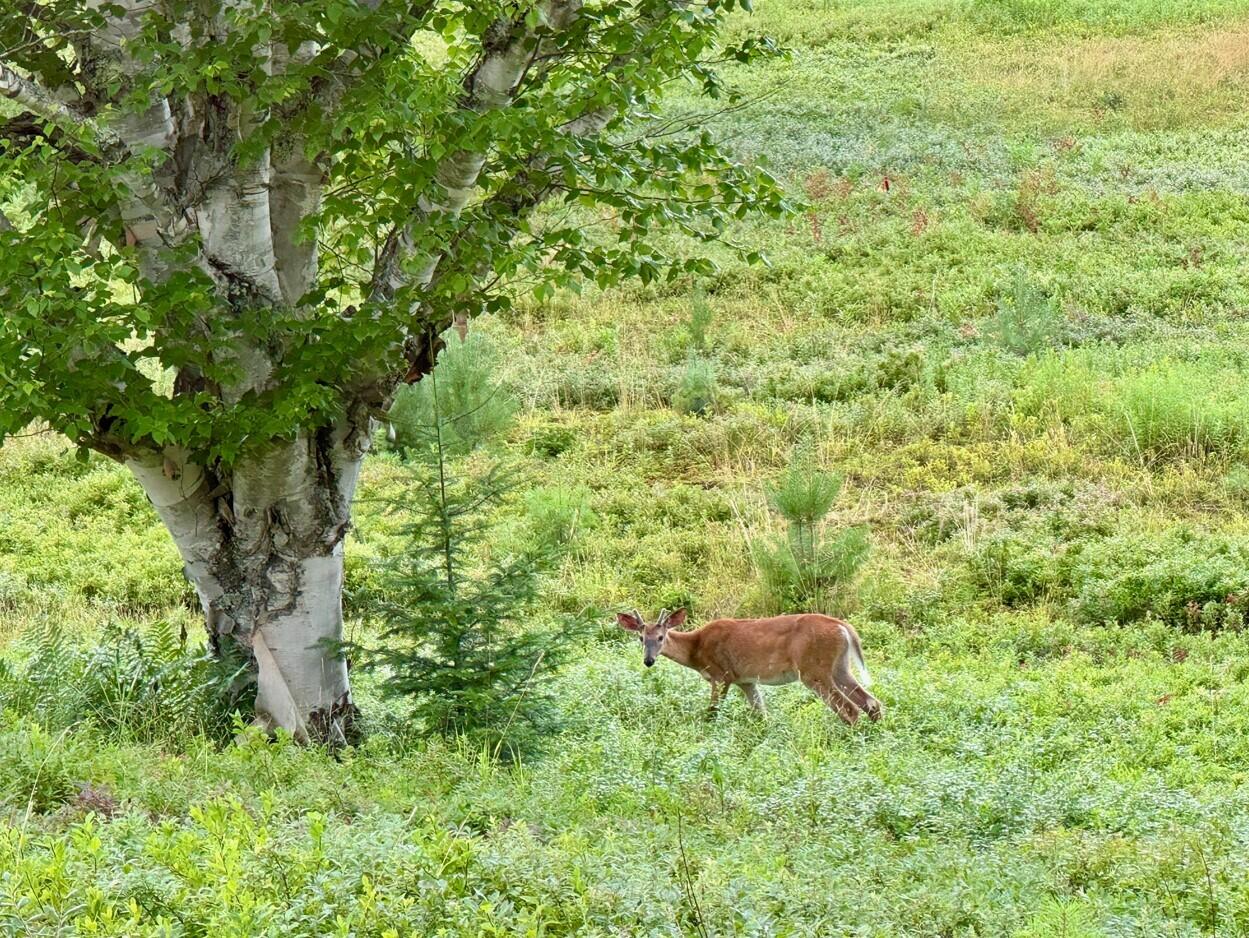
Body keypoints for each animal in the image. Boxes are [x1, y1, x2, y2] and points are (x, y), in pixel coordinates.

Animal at [619, 609, 884, 724]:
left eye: (661, 637)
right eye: (641, 638)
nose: (648, 661)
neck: (696, 647)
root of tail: (843, 627)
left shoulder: (721, 674)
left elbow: (712, 711)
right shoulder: (745, 680)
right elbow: (761, 713)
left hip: (813, 669)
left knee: (849, 708)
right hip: (840, 666)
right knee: (871, 702)